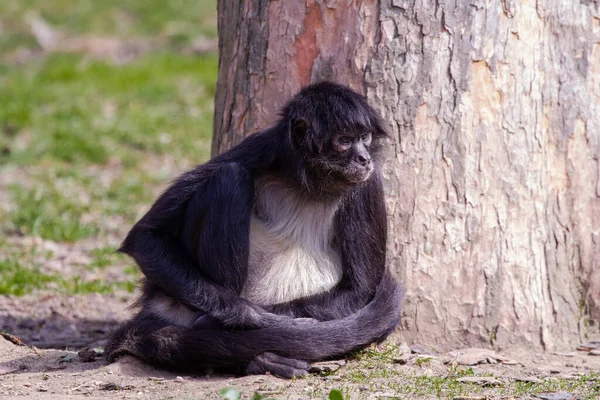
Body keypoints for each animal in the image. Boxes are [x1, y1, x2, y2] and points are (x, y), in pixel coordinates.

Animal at [105, 82, 406, 378]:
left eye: (365, 137)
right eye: (344, 141)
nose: (364, 158)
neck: (311, 183)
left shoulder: (368, 182)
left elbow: (359, 289)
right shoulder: (262, 148)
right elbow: (146, 236)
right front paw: (253, 317)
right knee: (229, 177)